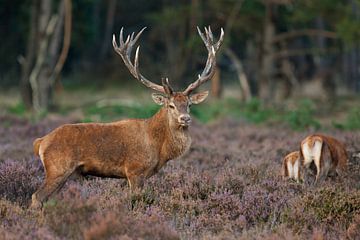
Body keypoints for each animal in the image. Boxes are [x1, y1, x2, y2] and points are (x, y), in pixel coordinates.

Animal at [31, 26, 224, 208]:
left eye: (189, 104)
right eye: (171, 105)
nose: (185, 118)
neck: (158, 147)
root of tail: (41, 141)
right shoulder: (134, 170)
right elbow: (136, 201)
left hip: (66, 174)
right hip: (58, 168)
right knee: (36, 197)